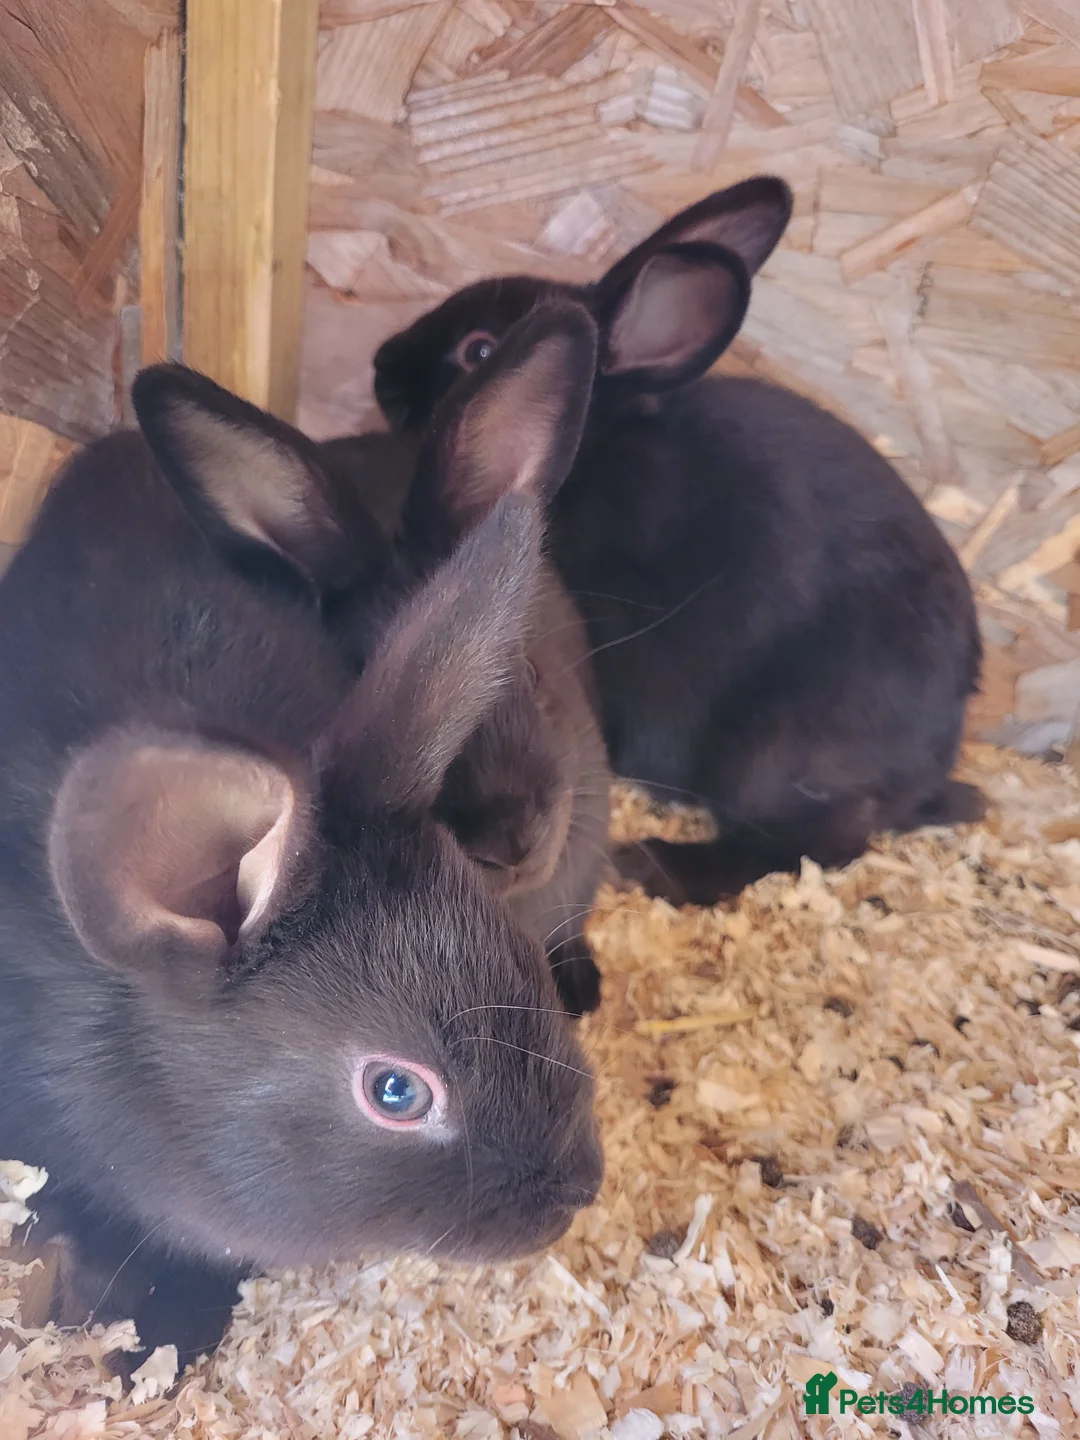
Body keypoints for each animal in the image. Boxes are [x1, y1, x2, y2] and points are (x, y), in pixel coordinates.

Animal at [368, 176, 985, 907]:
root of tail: (927, 771)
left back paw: (655, 864)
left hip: (774, 756)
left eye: (479, 350)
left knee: (819, 844)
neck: (594, 446)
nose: (380, 366)